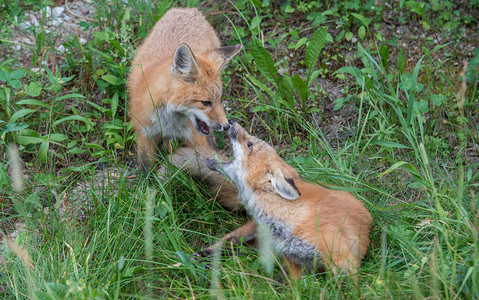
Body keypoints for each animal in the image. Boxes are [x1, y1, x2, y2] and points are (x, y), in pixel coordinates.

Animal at [127, 7, 242, 169]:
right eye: (206, 103)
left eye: (220, 100)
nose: (226, 126)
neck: (169, 121)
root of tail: (188, 9)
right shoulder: (145, 134)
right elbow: (146, 170)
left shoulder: (199, 141)